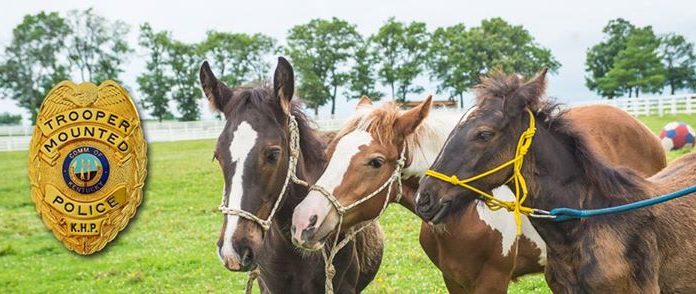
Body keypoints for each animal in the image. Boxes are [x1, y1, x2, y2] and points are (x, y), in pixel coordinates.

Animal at [290, 89, 668, 292]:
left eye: (375, 161)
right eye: (330, 151)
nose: (305, 220)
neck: (466, 212)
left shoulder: (492, 281)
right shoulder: (453, 280)